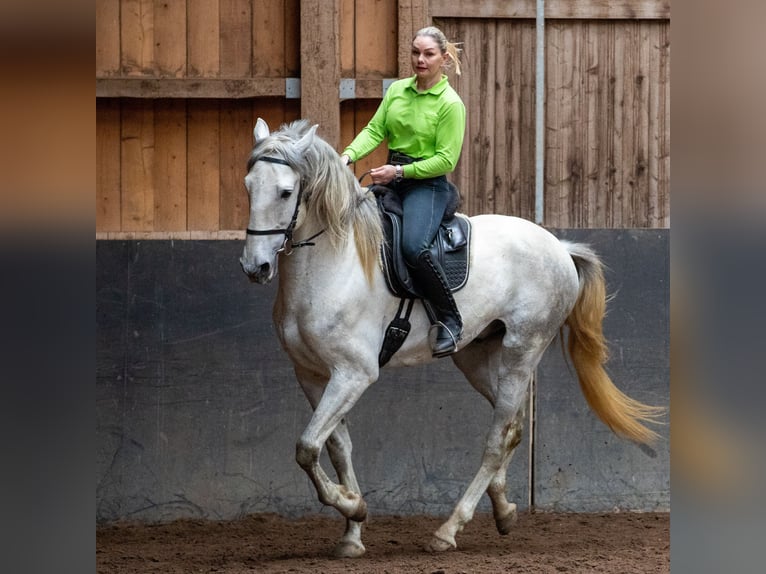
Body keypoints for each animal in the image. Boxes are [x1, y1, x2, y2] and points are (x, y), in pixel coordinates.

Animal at [240, 119, 664, 560]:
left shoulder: (353, 374)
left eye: (285, 192)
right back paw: (504, 510)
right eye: (249, 186)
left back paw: (448, 530)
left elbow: (307, 446)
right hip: (475, 357)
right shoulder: (312, 374)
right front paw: (352, 534)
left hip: (522, 352)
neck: (333, 264)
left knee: (497, 438)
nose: (256, 267)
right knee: (511, 426)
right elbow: (336, 447)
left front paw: (355, 507)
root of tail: (559, 247)